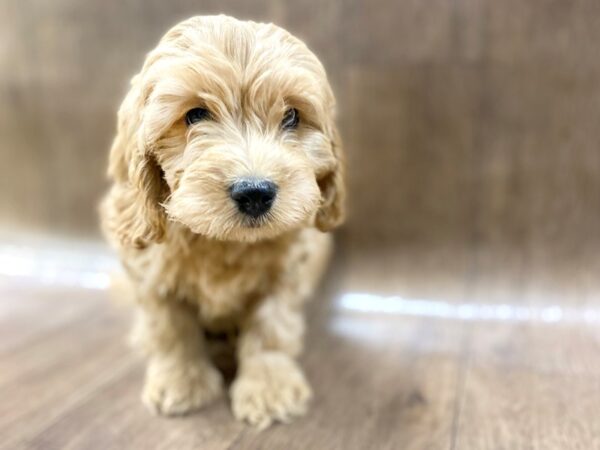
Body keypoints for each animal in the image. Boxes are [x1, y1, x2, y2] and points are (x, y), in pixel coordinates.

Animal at [101, 14, 344, 428]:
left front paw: (268, 388)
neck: (222, 242)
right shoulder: (149, 271)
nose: (255, 192)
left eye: (292, 116)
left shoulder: (286, 272)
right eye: (195, 115)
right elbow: (171, 328)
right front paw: (181, 381)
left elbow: (271, 327)